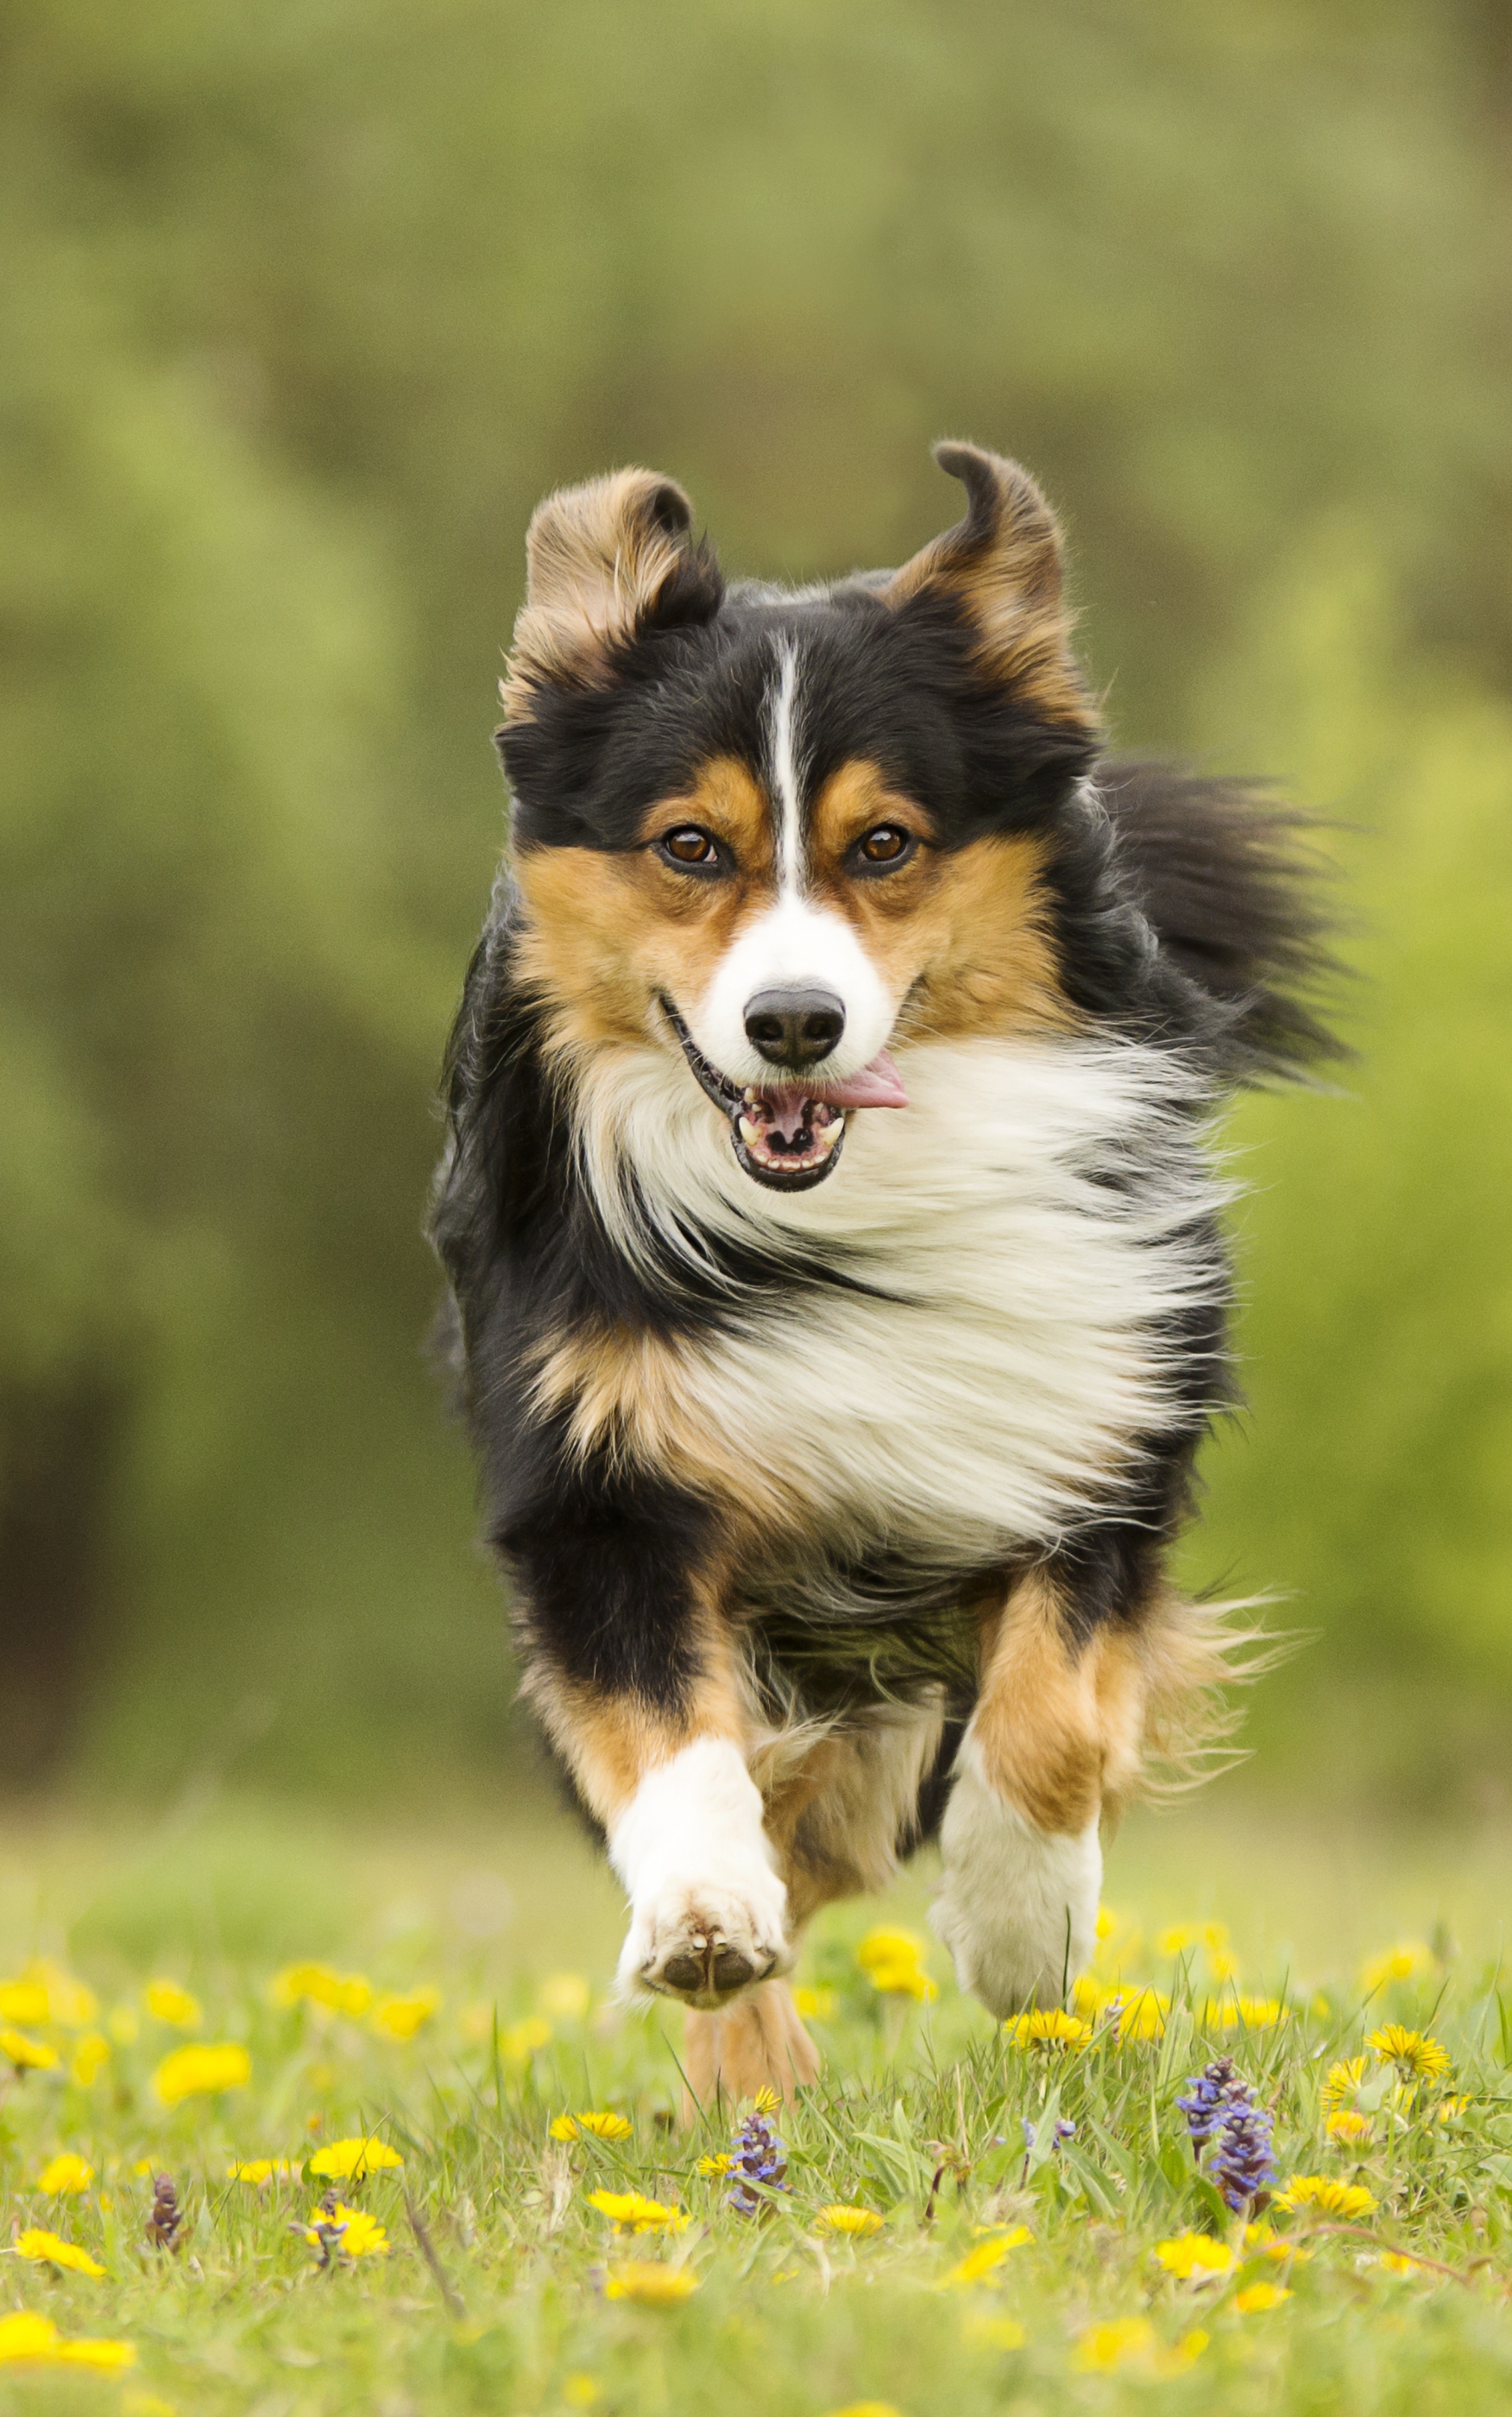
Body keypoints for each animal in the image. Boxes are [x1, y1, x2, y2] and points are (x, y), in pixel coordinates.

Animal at [427, 445, 1332, 2107]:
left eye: (886, 845)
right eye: (690, 846)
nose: (792, 1024)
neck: (835, 1219)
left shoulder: (1094, 1419)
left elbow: (1052, 1718)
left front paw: (1023, 1929)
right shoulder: (590, 1484)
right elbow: (671, 1737)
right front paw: (705, 1921)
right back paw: (753, 2080)